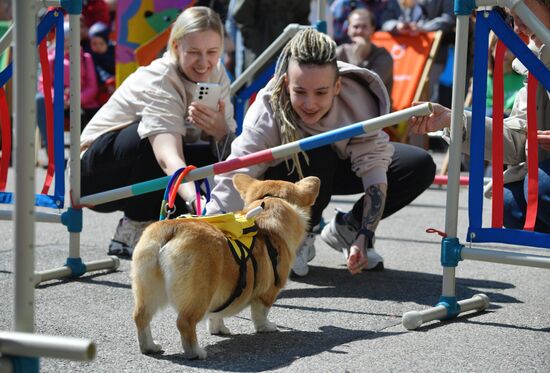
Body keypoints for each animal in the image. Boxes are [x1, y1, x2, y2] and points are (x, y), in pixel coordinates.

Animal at [132, 174, 322, 358]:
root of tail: (171, 230)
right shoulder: (268, 292)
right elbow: (260, 313)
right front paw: (266, 327)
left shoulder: (224, 293)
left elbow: (216, 315)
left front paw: (219, 330)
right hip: (199, 294)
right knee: (184, 322)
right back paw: (196, 352)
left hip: (148, 287)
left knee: (141, 317)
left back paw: (150, 347)